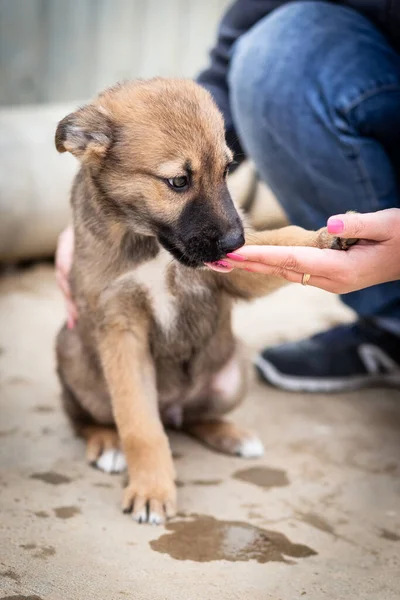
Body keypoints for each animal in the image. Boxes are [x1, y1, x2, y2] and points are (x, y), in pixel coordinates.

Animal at [54, 79, 348, 524]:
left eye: (226, 170)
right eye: (178, 181)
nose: (236, 241)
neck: (152, 245)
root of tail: (172, 406)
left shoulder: (232, 275)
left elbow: (284, 239)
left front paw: (326, 237)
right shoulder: (120, 325)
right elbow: (140, 425)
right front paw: (152, 489)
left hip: (235, 370)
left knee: (195, 417)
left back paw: (230, 434)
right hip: (73, 354)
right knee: (87, 418)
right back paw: (106, 442)